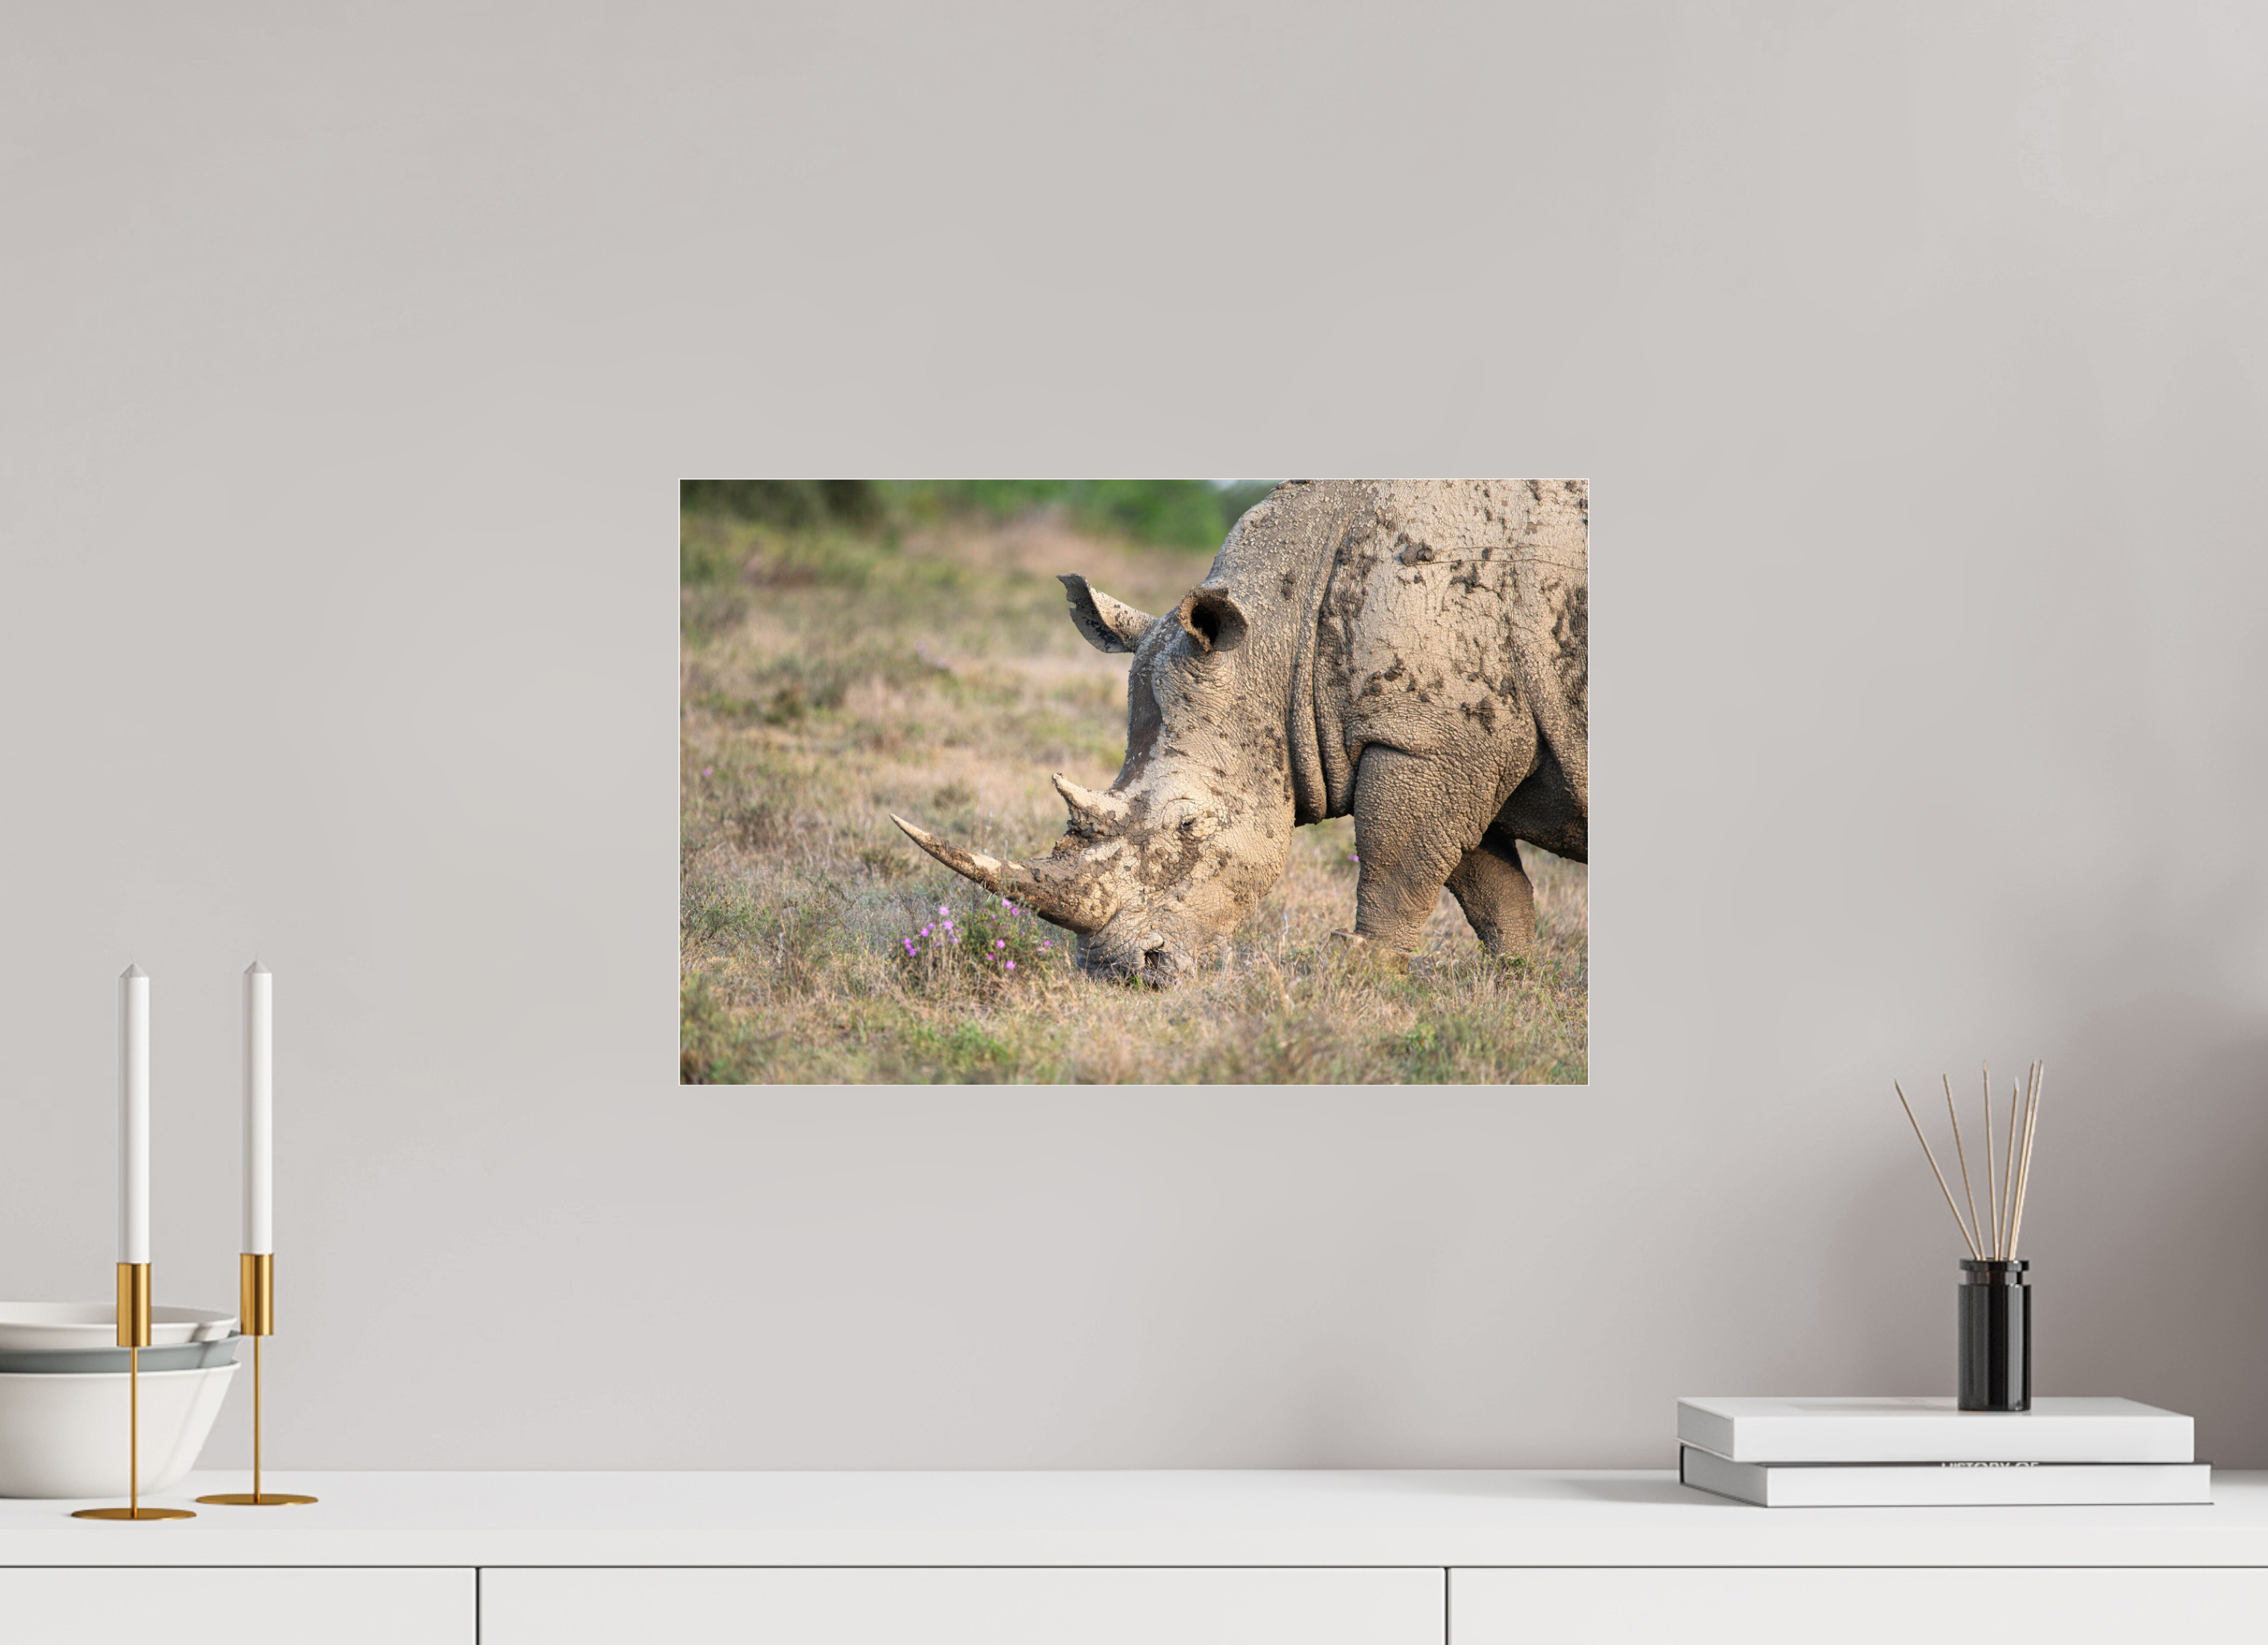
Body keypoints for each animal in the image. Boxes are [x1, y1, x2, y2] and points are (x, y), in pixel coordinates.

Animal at [893, 478, 1587, 980]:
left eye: (1189, 825)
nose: (1124, 972)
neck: (1282, 639)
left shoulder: (1427, 740)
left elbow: (1398, 860)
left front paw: (1362, 972)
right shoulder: (1458, 742)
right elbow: (1487, 883)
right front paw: (1515, 982)